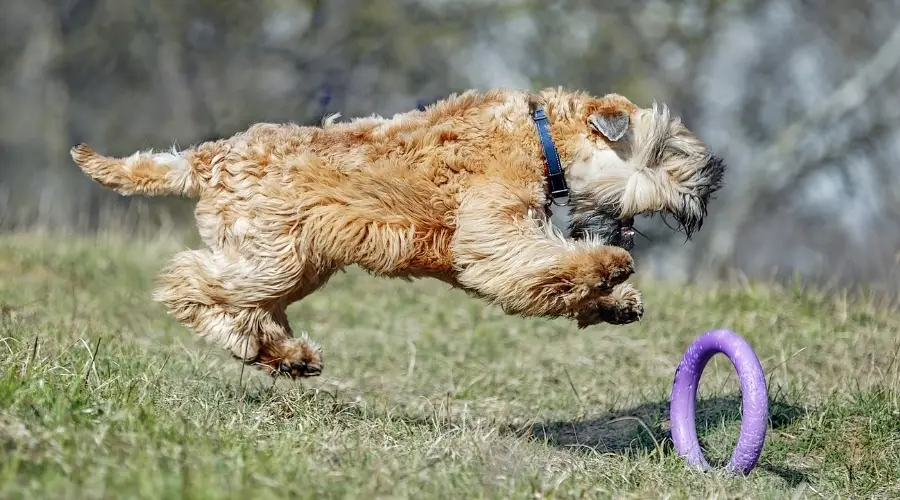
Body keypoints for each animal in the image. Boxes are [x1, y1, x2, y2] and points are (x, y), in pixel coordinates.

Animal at [74, 88, 728, 378]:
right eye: (663, 149)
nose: (709, 185)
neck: (539, 133)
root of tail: (206, 157)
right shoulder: (491, 234)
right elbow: (542, 264)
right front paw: (610, 269)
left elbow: (553, 268)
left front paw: (617, 300)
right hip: (272, 257)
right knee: (190, 283)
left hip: (295, 263)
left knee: (250, 309)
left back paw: (287, 355)